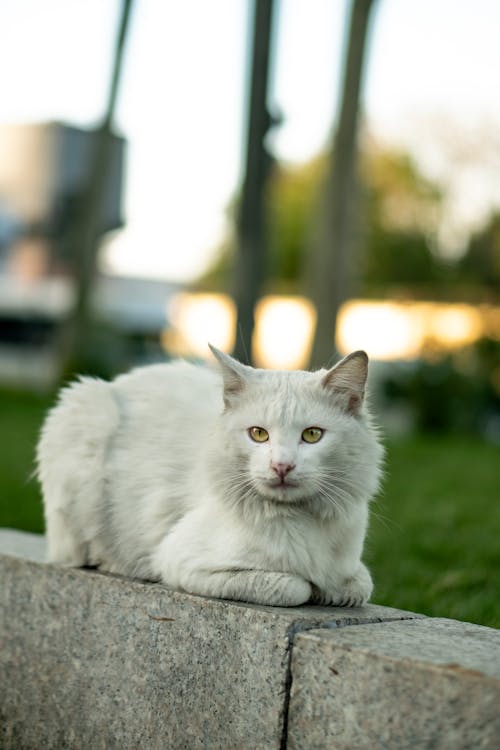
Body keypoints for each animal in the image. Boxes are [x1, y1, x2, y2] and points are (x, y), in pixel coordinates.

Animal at [38, 346, 382, 612]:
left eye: (312, 435)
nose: (281, 466)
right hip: (87, 415)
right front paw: (311, 588)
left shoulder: (351, 569)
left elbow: (357, 584)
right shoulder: (183, 562)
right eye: (258, 434)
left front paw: (330, 589)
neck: (298, 518)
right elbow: (294, 587)